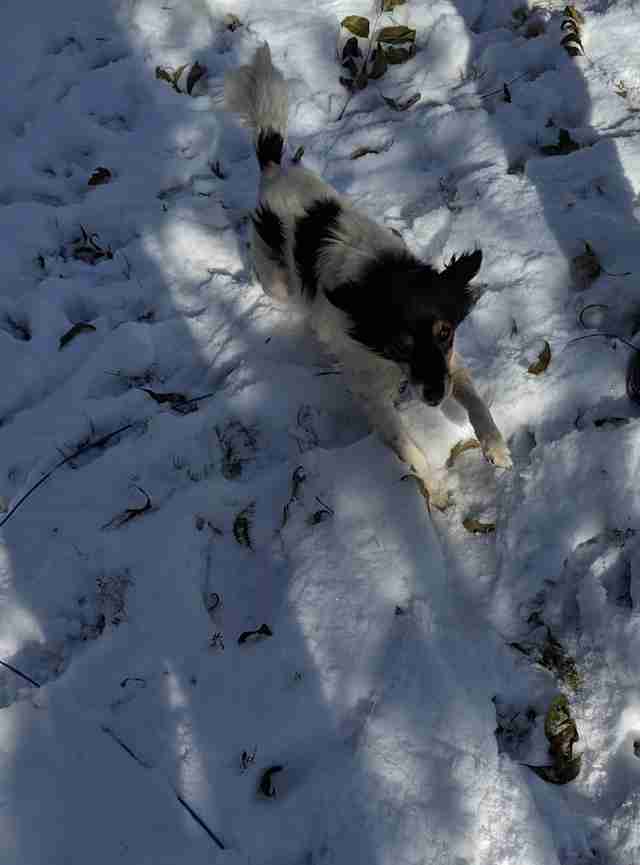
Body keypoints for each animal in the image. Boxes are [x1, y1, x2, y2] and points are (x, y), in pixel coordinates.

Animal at [224, 44, 510, 506]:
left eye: (445, 331)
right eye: (401, 342)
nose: (434, 396)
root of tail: (273, 167)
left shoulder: (449, 362)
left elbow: (475, 400)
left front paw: (495, 445)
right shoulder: (373, 395)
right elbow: (410, 447)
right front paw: (436, 491)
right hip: (277, 281)